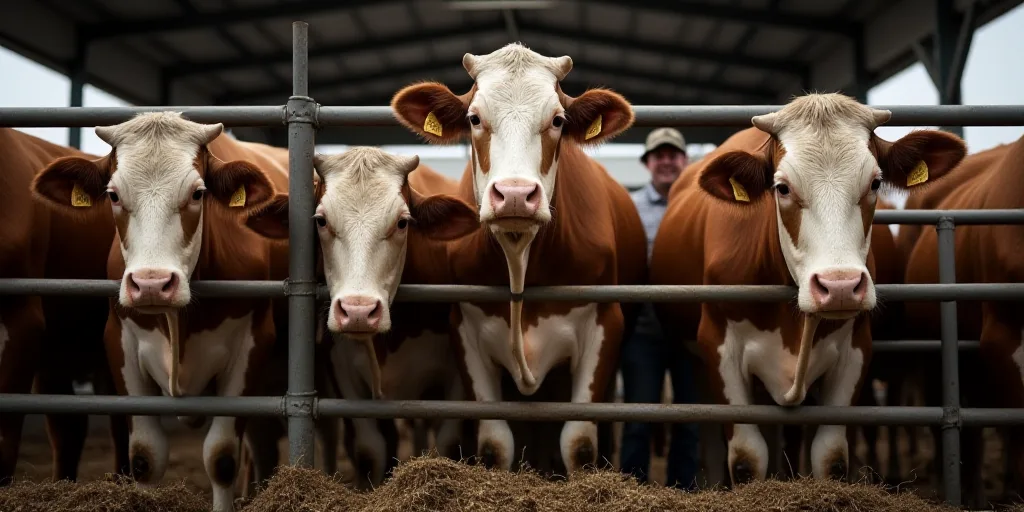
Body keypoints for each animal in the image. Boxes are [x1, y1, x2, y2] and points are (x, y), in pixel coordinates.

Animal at [29, 112, 290, 512]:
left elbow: (222, 457)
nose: (151, 283)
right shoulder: (120, 343)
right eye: (113, 195)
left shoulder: (252, 344)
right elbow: (145, 456)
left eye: (198, 193)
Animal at [242, 146, 479, 489]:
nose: (358, 311)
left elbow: (450, 443)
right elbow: (371, 451)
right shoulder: (344, 377)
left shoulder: (456, 377)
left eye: (402, 222)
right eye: (321, 220)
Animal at [389, 43, 649, 474]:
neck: (519, 259)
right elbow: (495, 444)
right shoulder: (465, 330)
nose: (514, 195)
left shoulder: (604, 324)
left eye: (558, 120)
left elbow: (579, 443)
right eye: (475, 118)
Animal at [649, 93, 967, 486]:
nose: (840, 286)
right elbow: (746, 457)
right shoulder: (719, 348)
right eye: (782, 187)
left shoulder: (854, 351)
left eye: (875, 183)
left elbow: (831, 455)